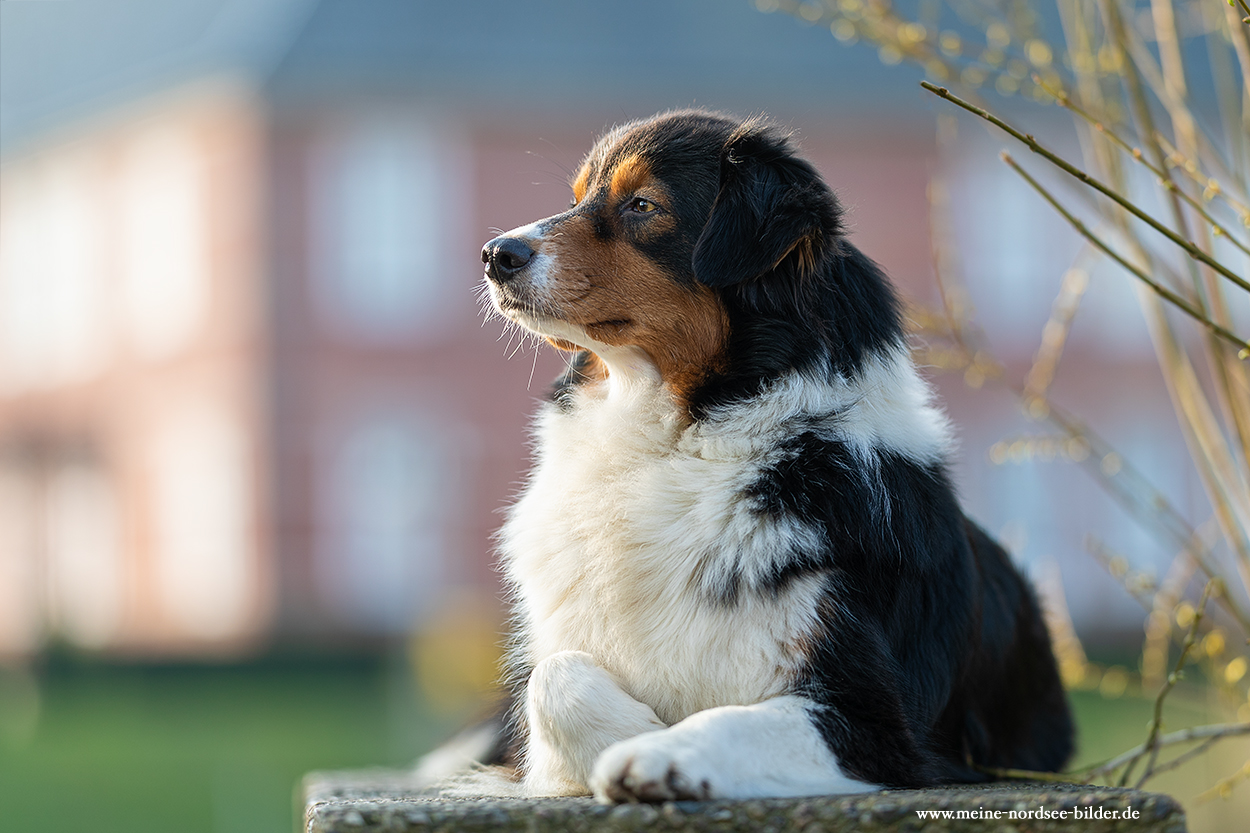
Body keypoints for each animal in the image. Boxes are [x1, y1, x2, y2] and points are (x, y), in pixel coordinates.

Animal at [435, 108, 1070, 800]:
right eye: (576, 198)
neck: (677, 440)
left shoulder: (878, 727)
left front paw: (655, 751)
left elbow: (732, 718)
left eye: (642, 205)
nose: (496, 254)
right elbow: (550, 682)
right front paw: (631, 732)